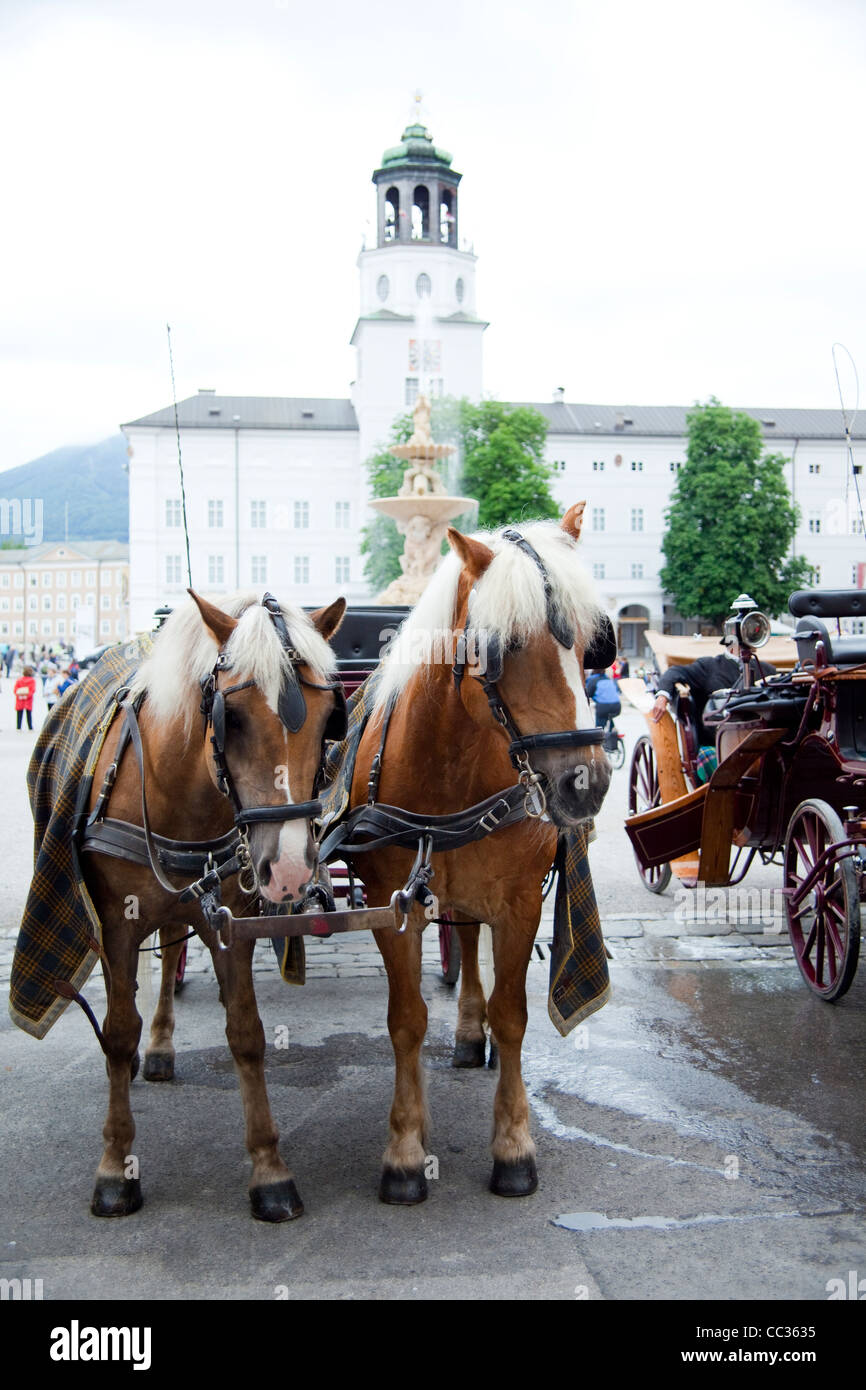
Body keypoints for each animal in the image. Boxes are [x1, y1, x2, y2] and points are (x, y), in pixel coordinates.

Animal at [76, 586, 343, 1217]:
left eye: (329, 721)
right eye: (233, 718)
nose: (289, 870)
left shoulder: (229, 921)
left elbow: (246, 1032)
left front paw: (269, 1170)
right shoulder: (116, 922)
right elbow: (116, 1030)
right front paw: (114, 1167)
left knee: (172, 951)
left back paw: (160, 1044)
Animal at [346, 505, 608, 1200]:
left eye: (592, 643)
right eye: (501, 646)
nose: (587, 783)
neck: (453, 775)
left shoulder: (518, 905)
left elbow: (512, 1015)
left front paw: (514, 1148)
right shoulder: (392, 904)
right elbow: (406, 1020)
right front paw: (406, 1149)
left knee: (467, 937)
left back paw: (471, 1031)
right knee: (460, 934)